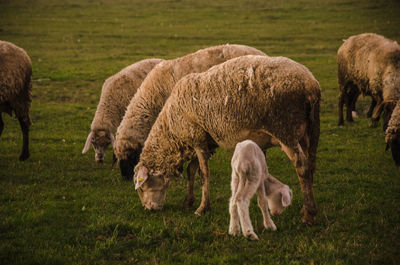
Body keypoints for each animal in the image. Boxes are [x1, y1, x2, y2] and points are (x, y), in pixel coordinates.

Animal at [134, 54, 322, 224]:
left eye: (142, 188)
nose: (148, 209)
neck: (170, 129)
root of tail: (310, 85)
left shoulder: (197, 139)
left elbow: (204, 173)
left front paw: (202, 208)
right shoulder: (203, 140)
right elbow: (191, 170)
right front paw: (188, 201)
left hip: (285, 129)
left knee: (302, 167)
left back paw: (309, 215)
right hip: (309, 131)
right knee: (311, 165)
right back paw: (306, 208)